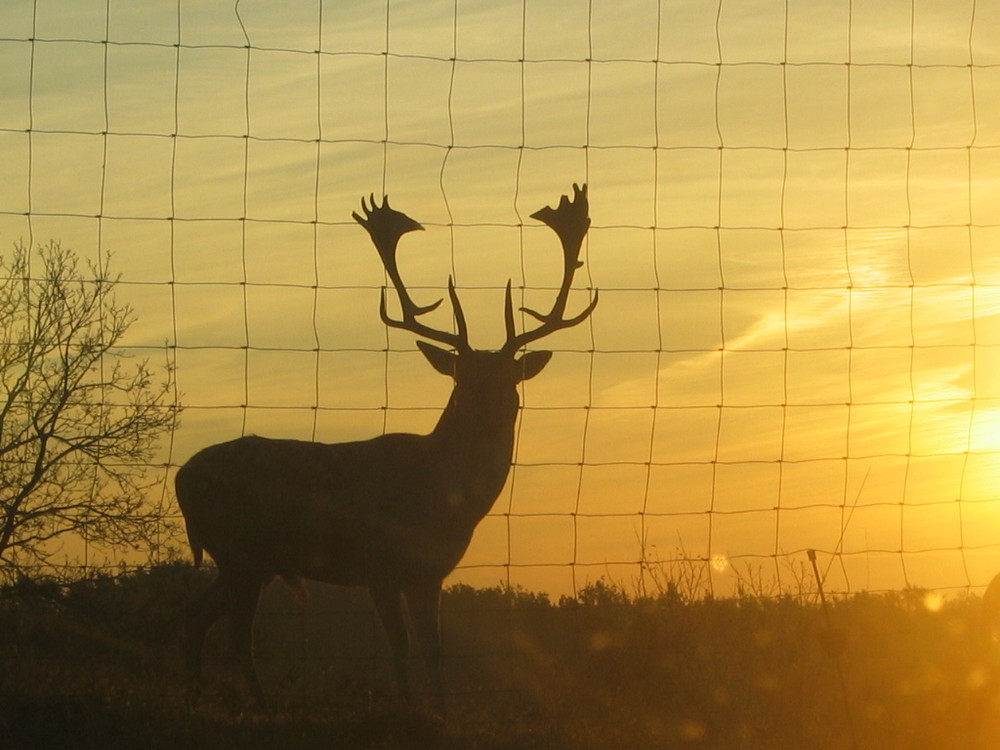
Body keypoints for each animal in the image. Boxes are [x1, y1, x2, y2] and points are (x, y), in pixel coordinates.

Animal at [176, 182, 596, 716]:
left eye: (510, 381)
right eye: (461, 381)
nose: (488, 411)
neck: (444, 500)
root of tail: (181, 476)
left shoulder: (430, 572)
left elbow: (434, 647)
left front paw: (441, 711)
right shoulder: (377, 564)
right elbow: (400, 644)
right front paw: (406, 707)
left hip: (246, 558)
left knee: (193, 613)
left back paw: (195, 694)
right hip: (240, 549)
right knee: (234, 630)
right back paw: (262, 704)